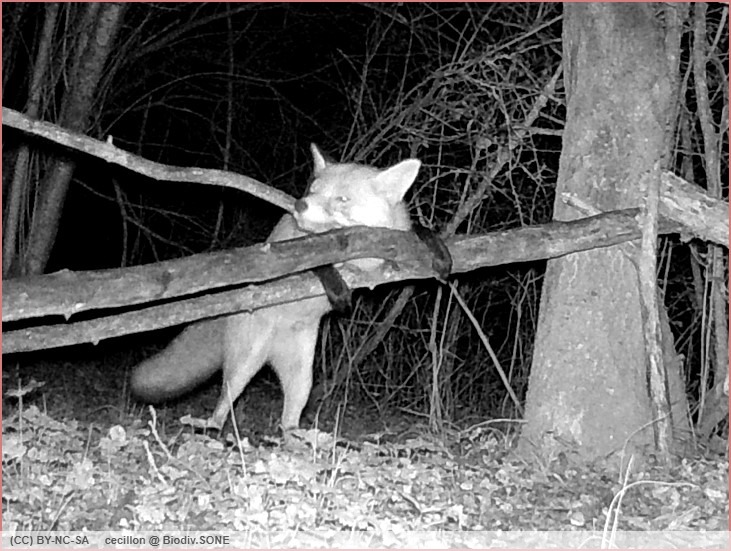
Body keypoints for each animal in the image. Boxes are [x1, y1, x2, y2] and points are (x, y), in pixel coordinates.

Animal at [130, 144, 422, 431]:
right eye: (313, 190)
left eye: (342, 199)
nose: (300, 204)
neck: (360, 258)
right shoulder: (293, 248)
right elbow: (317, 262)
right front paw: (338, 287)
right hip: (243, 365)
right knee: (224, 405)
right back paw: (209, 426)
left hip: (303, 381)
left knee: (287, 423)